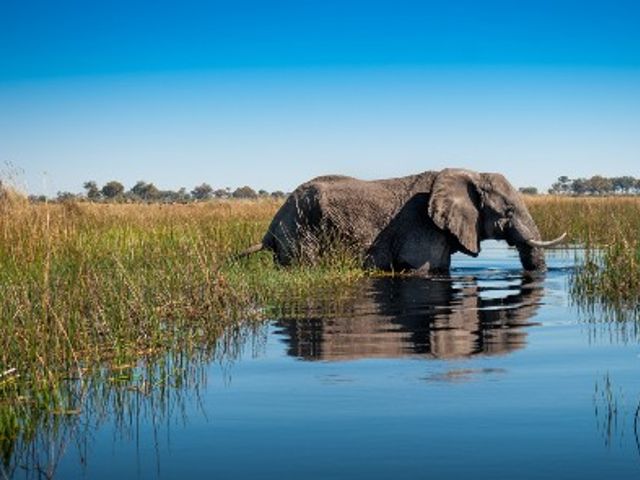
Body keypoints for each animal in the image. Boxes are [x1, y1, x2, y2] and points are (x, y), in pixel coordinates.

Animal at [241, 168, 564, 274]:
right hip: (299, 232)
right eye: (507, 211)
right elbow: (423, 269)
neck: (471, 172)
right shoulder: (420, 226)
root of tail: (271, 227)